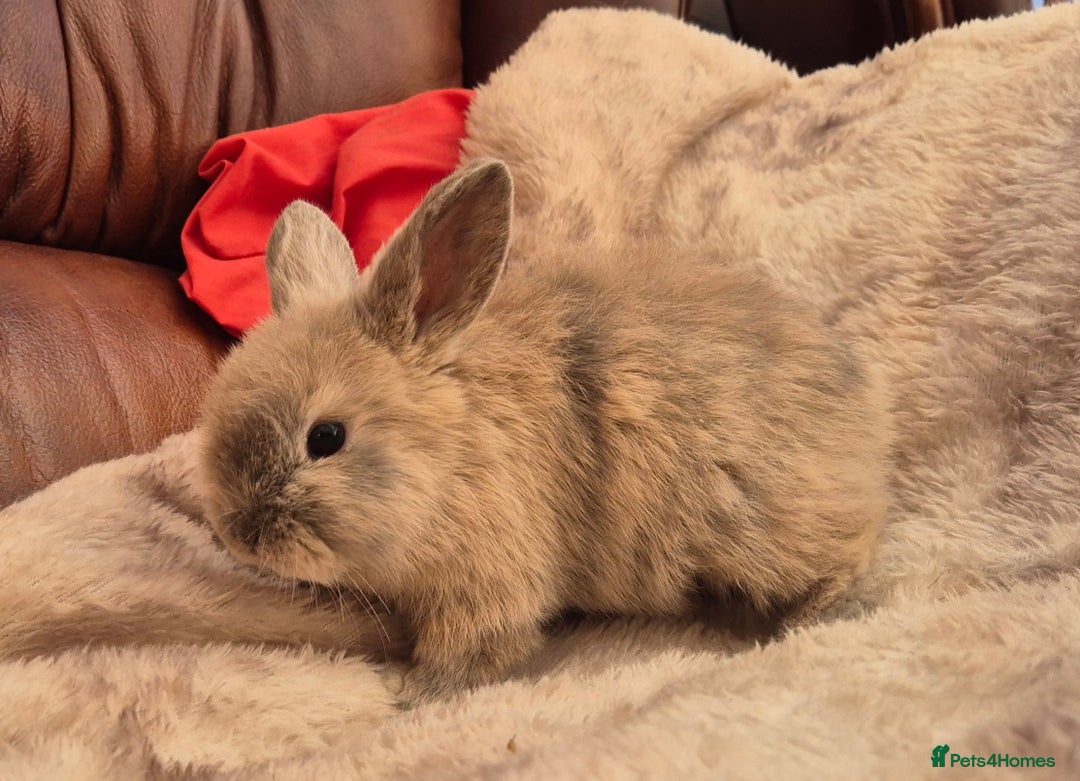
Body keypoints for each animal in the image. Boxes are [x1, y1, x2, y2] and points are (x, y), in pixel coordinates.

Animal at [198, 158, 892, 704]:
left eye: (326, 438)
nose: (239, 535)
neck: (449, 454)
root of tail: (864, 410)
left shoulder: (485, 585)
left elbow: (469, 653)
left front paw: (408, 693)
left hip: (766, 526)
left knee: (849, 553)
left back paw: (805, 618)